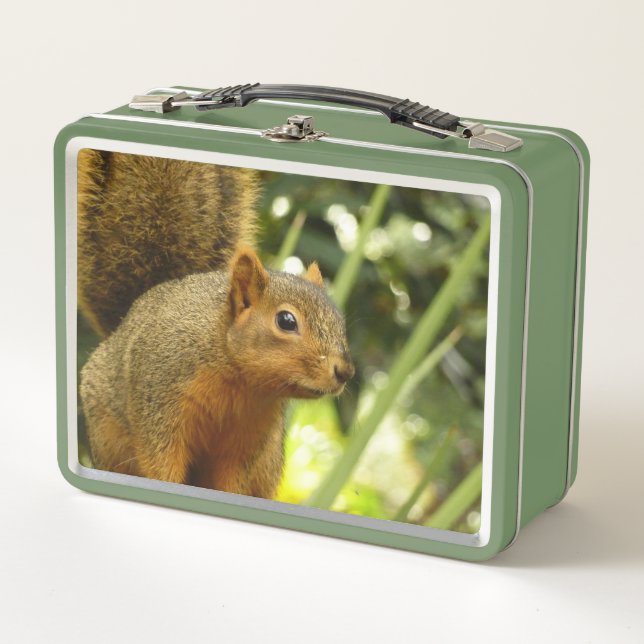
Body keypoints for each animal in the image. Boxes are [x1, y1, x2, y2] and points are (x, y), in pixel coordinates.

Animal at [77, 149, 354, 498]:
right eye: (286, 321)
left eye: (340, 320)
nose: (345, 371)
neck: (238, 377)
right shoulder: (160, 400)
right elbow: (160, 462)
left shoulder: (247, 441)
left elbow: (231, 480)